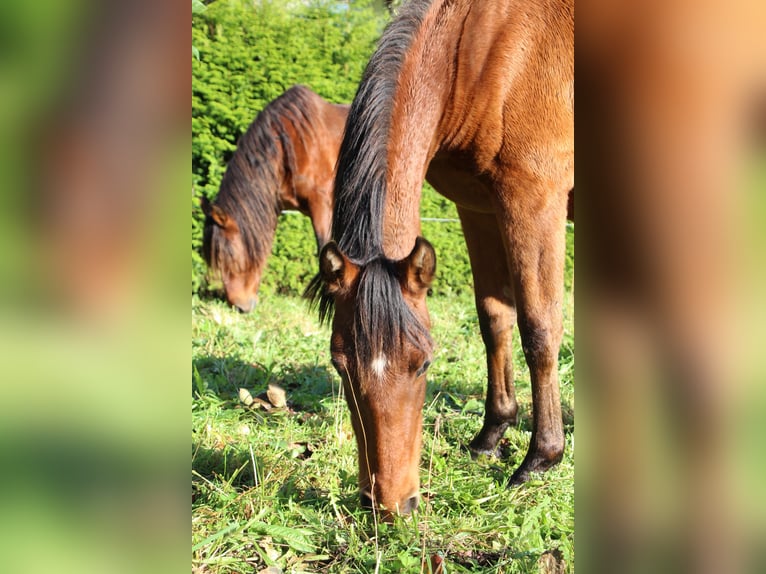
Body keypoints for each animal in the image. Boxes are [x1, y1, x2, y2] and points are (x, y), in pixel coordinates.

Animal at [308, 0, 576, 520]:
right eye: (340, 364)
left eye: (423, 364)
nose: (390, 505)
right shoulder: (478, 208)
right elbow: (494, 320)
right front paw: (490, 436)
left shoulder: (534, 200)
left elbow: (539, 327)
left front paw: (540, 458)